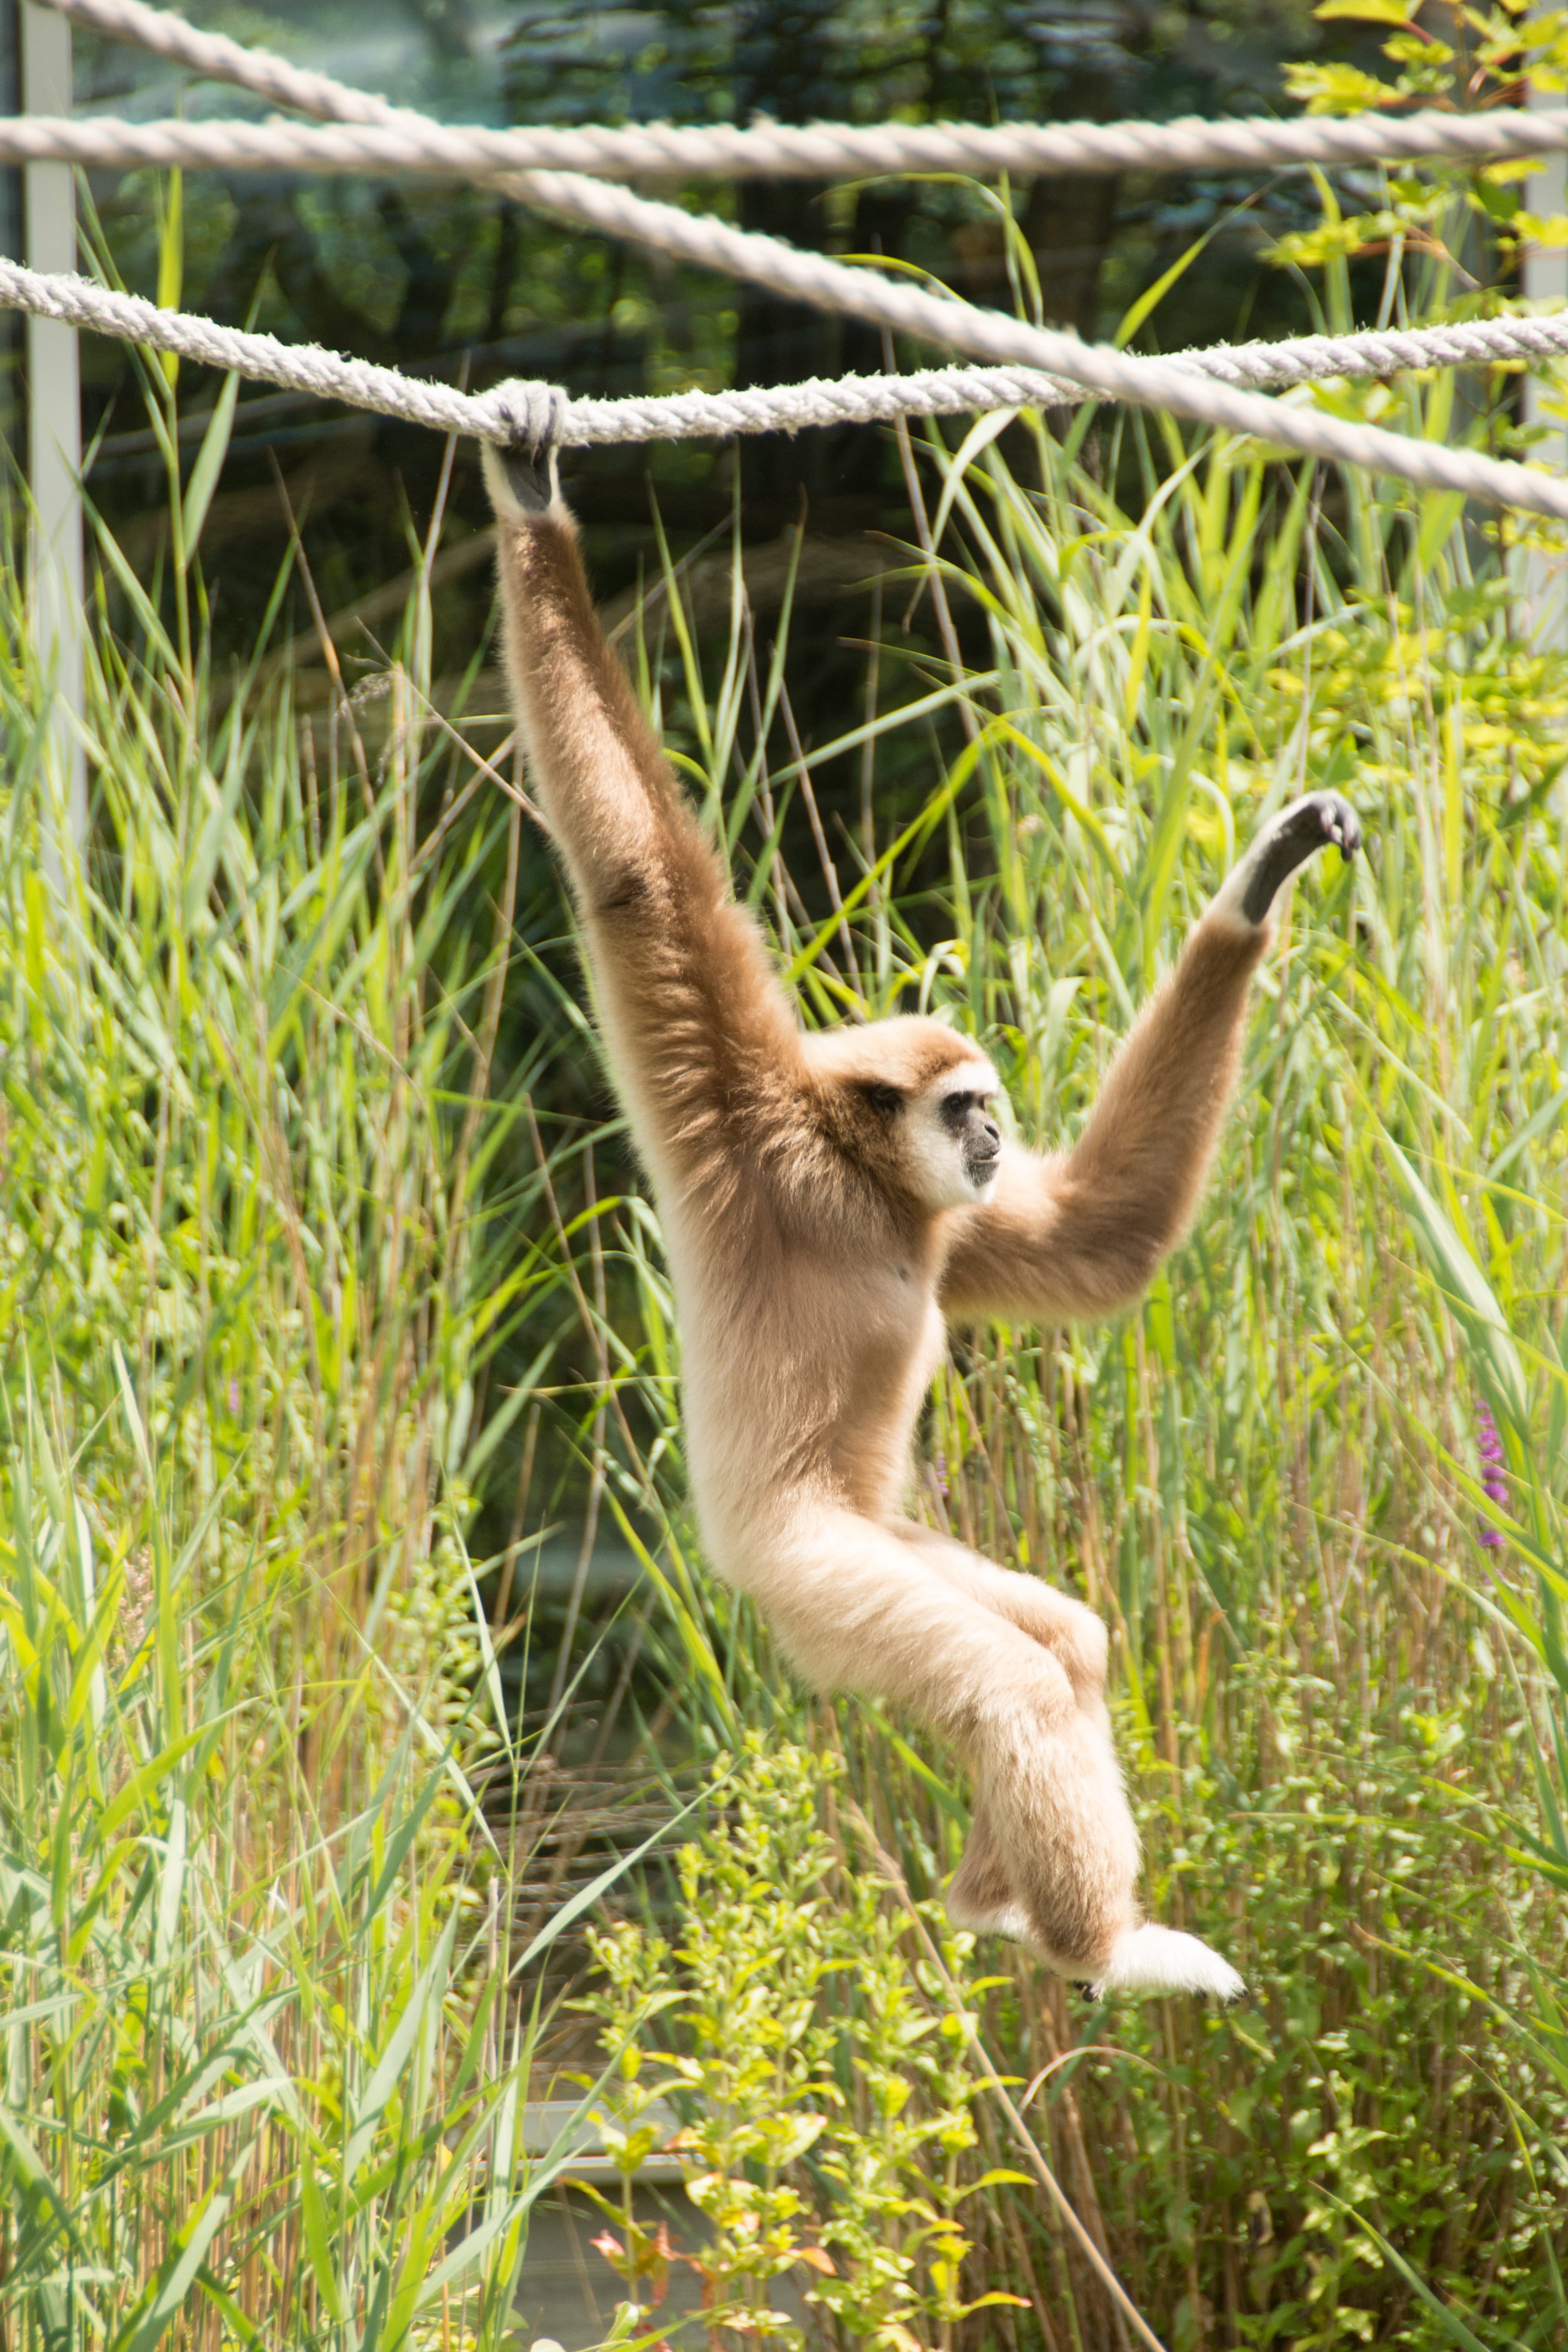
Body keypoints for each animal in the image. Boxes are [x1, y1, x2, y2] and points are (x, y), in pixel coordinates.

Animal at [480, 426, 1361, 1999]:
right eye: (963, 1106)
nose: (995, 1133)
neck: (859, 1187)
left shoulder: (959, 1221)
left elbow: (1095, 1238)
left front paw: (1261, 881)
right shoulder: (744, 1126)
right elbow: (640, 882)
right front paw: (533, 500)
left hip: (896, 1549)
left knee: (1063, 1637)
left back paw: (1004, 1904)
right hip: (821, 1583)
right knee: (1008, 1675)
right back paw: (1107, 1944)